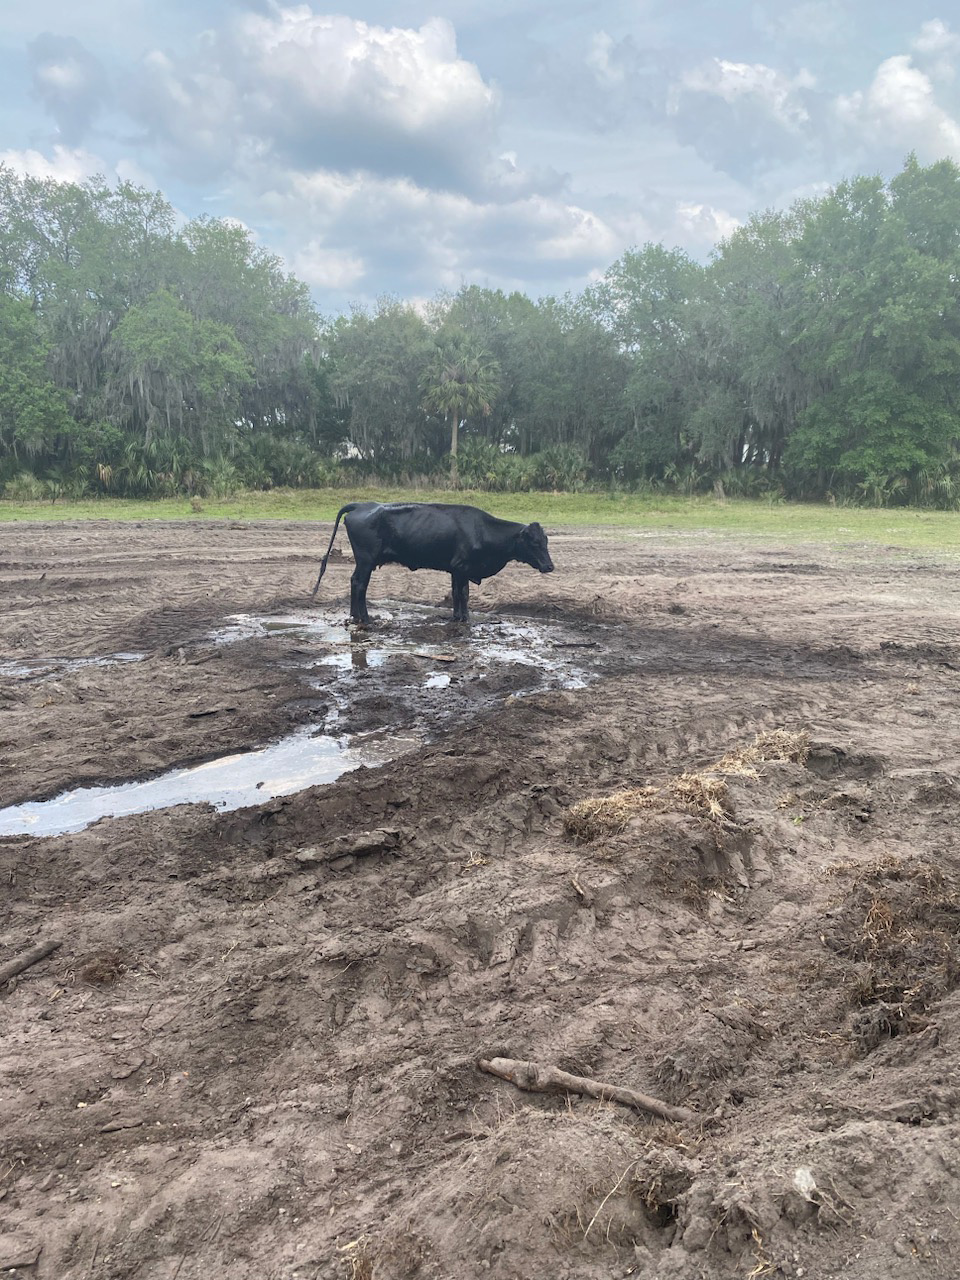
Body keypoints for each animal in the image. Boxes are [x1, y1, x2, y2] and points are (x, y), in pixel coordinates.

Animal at [313, 496, 555, 622]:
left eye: (546, 541)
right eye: (534, 543)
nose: (550, 566)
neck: (482, 530)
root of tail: (363, 505)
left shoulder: (457, 570)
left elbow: (458, 593)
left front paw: (458, 616)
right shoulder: (461, 567)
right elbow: (462, 594)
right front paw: (464, 618)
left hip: (364, 562)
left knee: (355, 582)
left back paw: (356, 614)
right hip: (366, 560)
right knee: (359, 584)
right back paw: (364, 617)